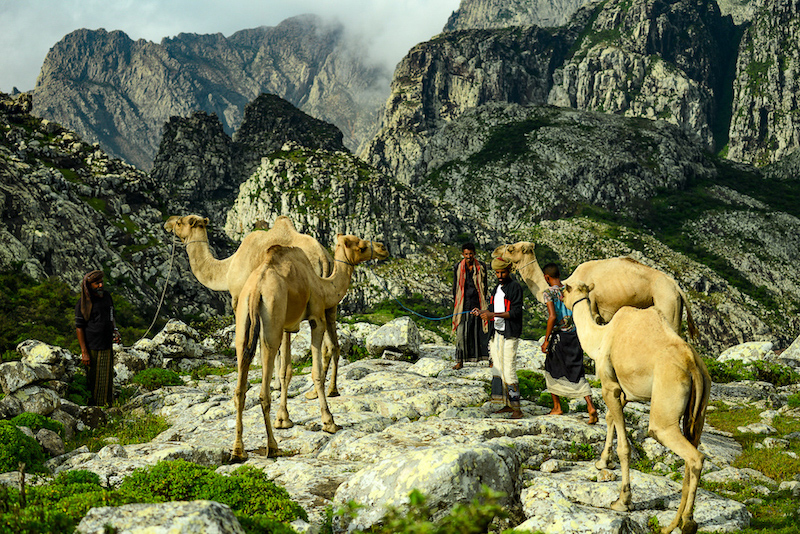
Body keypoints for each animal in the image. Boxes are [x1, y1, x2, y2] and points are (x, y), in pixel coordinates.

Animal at [166, 216, 344, 400]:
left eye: (179, 222)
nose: (167, 223)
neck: (227, 270)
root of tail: (323, 257)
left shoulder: (240, 299)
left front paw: (270, 384)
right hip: (328, 298)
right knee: (331, 343)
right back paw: (328, 390)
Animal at [230, 237, 390, 462]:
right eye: (361, 246)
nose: (383, 248)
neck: (322, 286)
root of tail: (255, 291)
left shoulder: (287, 325)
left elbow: (286, 371)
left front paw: (284, 419)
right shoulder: (316, 318)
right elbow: (316, 372)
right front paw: (329, 422)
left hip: (243, 323)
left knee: (240, 389)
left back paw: (238, 451)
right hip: (271, 321)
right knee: (263, 392)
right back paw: (273, 447)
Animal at [564, 282, 712, 532]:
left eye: (563, 289)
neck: (600, 337)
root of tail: (692, 364)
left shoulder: (609, 386)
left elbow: (624, 447)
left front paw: (622, 501)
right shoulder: (624, 391)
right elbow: (610, 419)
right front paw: (602, 462)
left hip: (664, 411)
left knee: (694, 457)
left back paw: (686, 523)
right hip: (699, 412)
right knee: (691, 450)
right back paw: (675, 523)